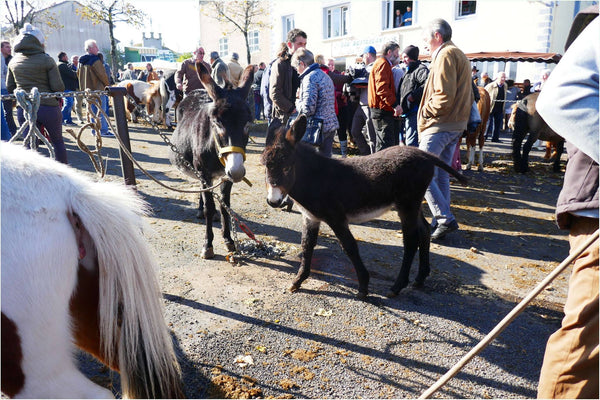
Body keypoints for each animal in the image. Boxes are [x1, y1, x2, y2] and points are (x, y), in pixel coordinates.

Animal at [169, 61, 253, 258]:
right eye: (217, 122)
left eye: (248, 123)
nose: (237, 171)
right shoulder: (204, 173)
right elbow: (209, 206)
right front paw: (208, 245)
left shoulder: (225, 176)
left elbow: (224, 206)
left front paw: (229, 240)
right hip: (198, 171)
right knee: (204, 196)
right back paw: (201, 210)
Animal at [262, 115, 468, 300]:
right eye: (265, 166)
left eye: (287, 167)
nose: (273, 201)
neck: (314, 178)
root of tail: (425, 155)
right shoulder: (311, 217)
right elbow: (306, 246)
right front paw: (297, 281)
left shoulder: (336, 218)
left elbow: (349, 247)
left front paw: (363, 287)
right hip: (413, 204)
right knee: (424, 230)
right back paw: (420, 278)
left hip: (407, 204)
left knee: (410, 241)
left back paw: (397, 287)